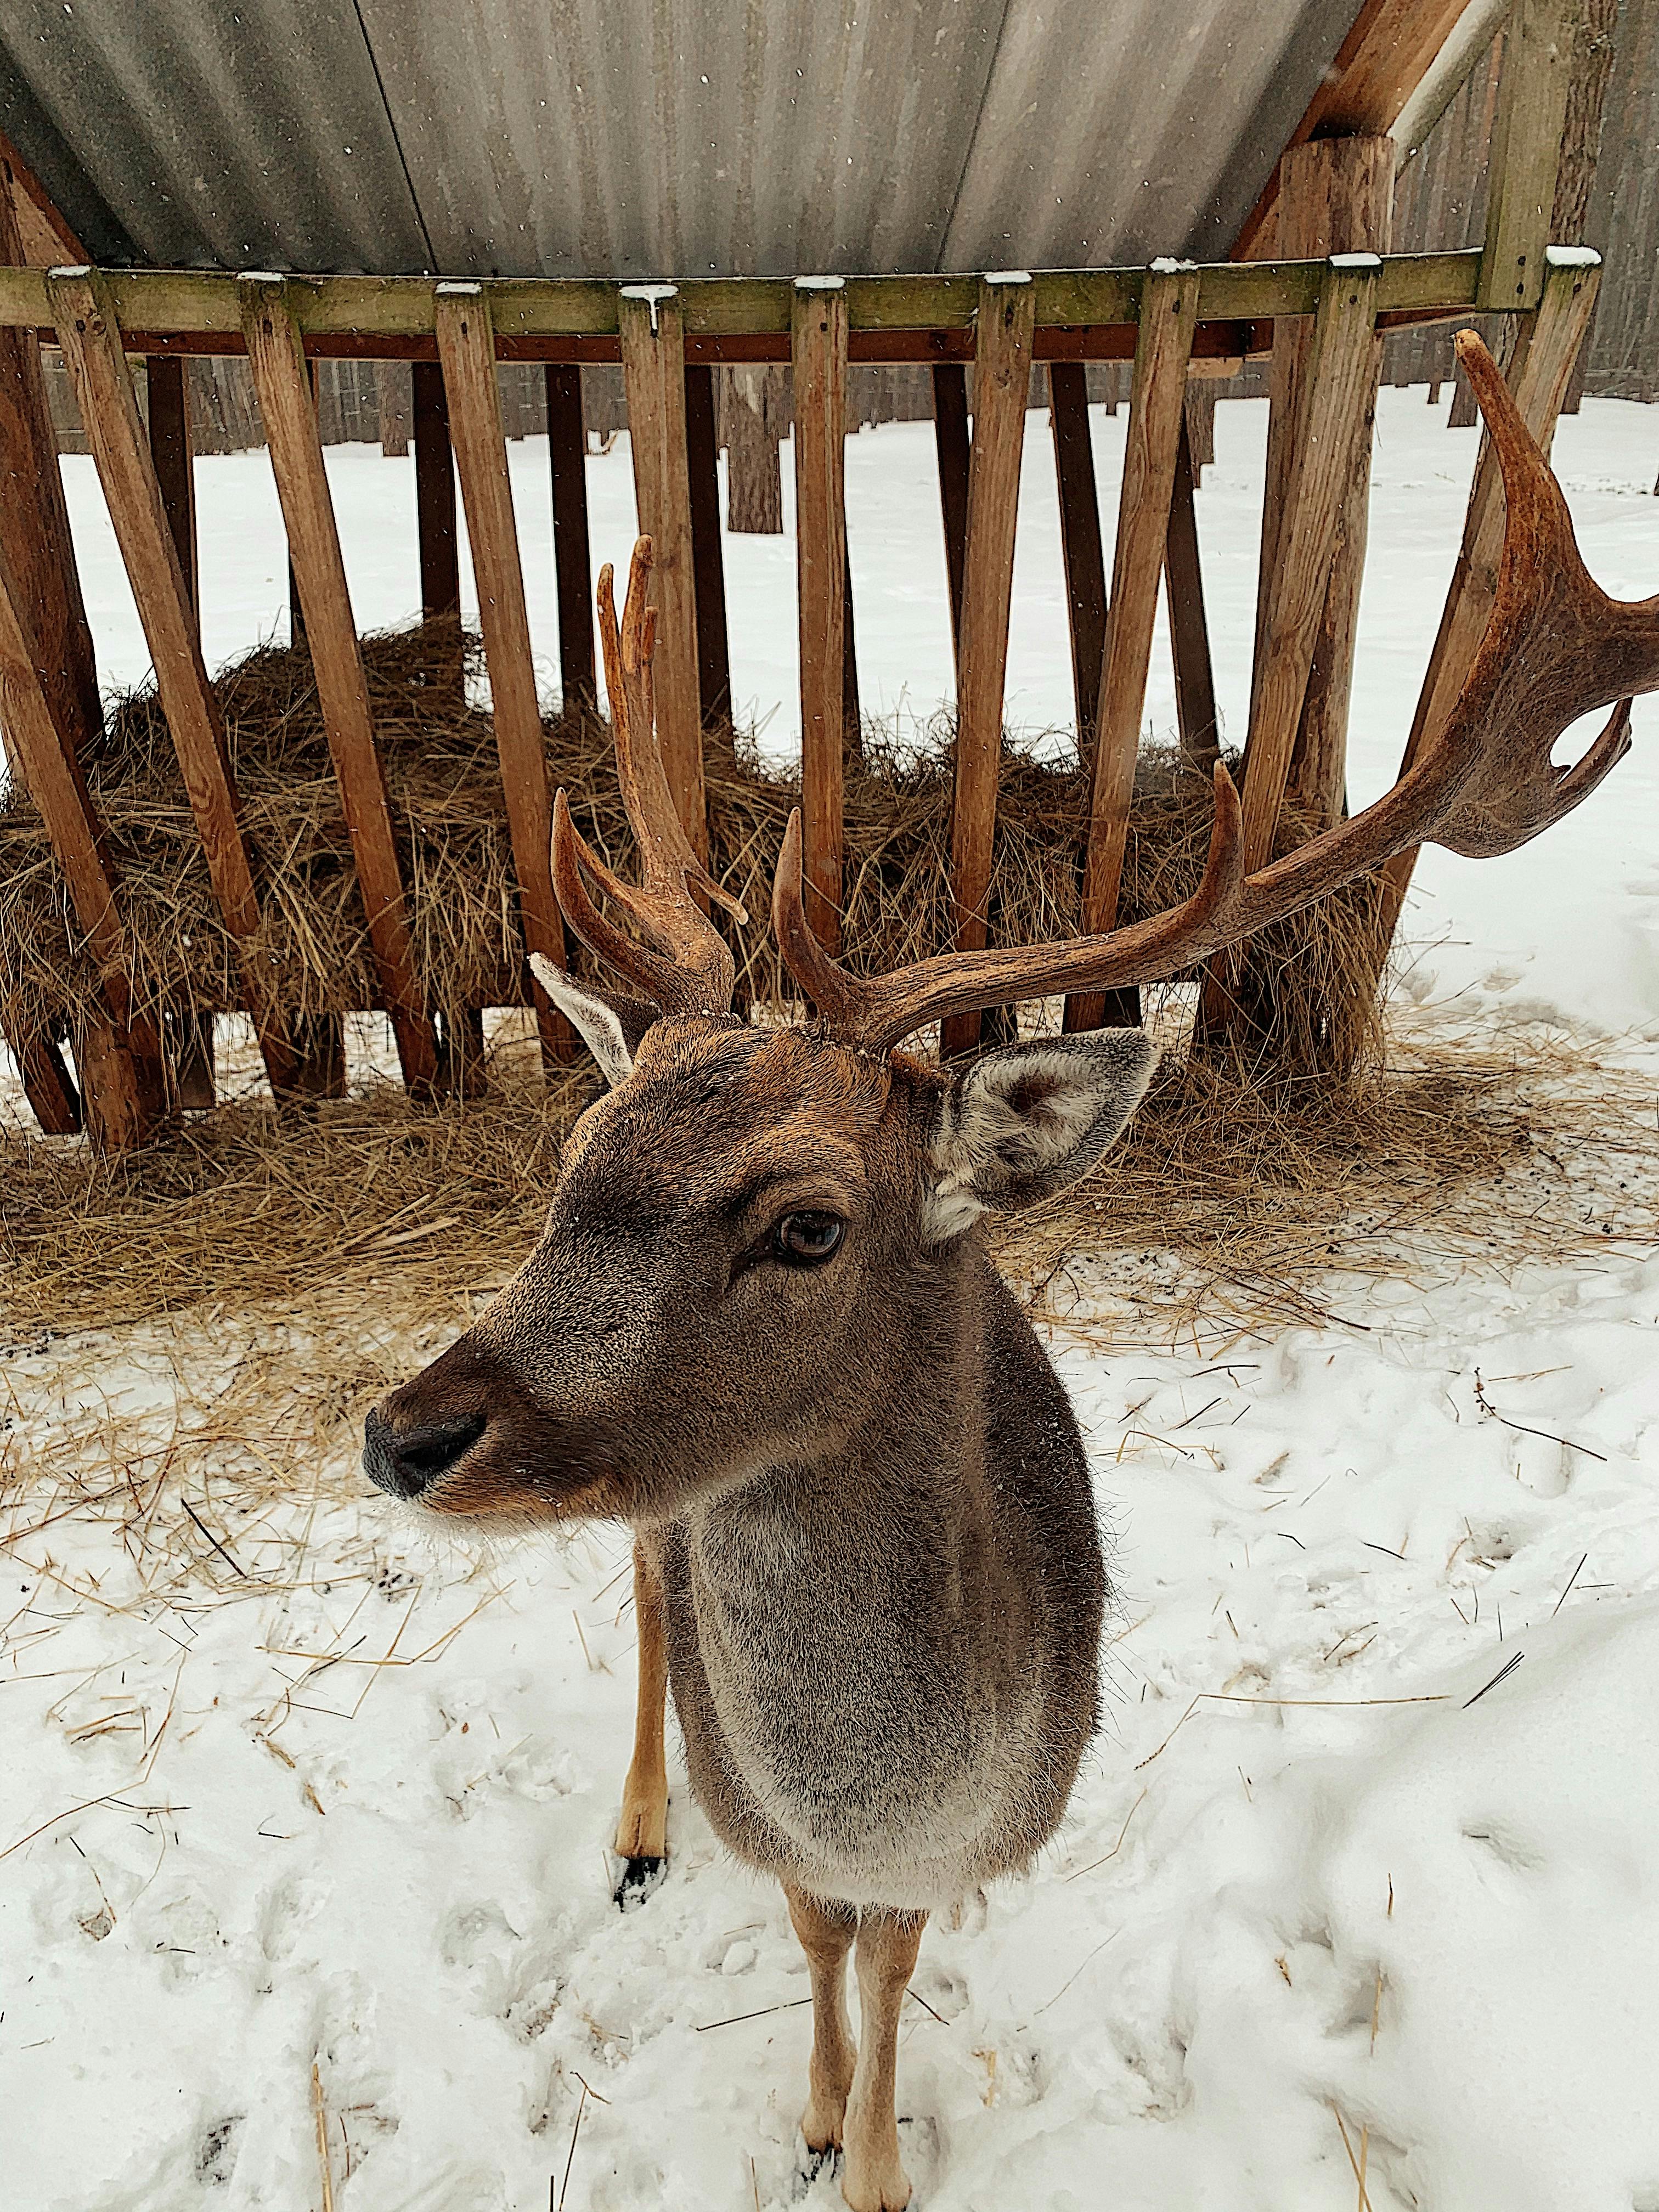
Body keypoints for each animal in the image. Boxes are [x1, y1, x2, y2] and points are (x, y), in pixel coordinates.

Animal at [363, 332, 1656, 2212]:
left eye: (808, 1224)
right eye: (576, 1162)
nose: (403, 1435)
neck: (898, 1793)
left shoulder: (996, 1828)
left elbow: (895, 1952)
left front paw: (877, 2154)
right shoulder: (783, 1827)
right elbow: (814, 1929)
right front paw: (819, 2115)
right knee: (648, 1597)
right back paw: (638, 1829)